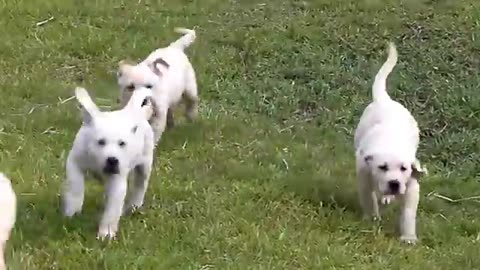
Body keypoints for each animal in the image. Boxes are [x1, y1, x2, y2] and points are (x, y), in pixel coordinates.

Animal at [62, 86, 155, 240]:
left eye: (122, 143)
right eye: (101, 142)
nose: (112, 160)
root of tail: (131, 111)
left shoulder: (118, 179)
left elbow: (113, 207)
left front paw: (106, 233)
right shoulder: (75, 162)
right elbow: (75, 186)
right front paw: (72, 212)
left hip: (145, 162)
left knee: (140, 184)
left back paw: (134, 205)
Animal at [352, 43, 428, 244]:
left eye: (403, 168)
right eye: (382, 167)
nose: (394, 184)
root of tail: (384, 99)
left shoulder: (411, 185)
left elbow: (408, 213)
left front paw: (409, 237)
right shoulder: (364, 176)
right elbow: (369, 199)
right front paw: (372, 220)